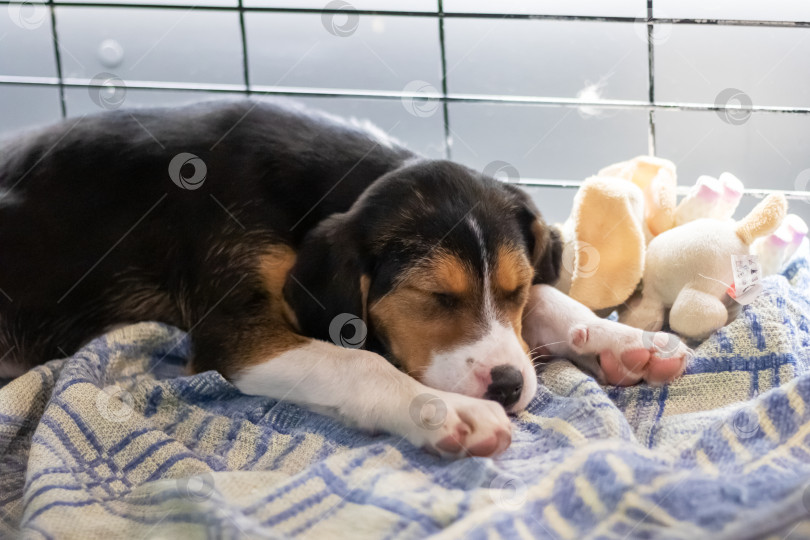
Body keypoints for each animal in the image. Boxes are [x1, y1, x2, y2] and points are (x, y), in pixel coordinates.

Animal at [0, 100, 688, 456]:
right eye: (435, 297)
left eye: (513, 290)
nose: (509, 386)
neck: (313, 196)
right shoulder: (234, 334)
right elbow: (357, 361)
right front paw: (449, 413)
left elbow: (551, 294)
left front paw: (624, 342)